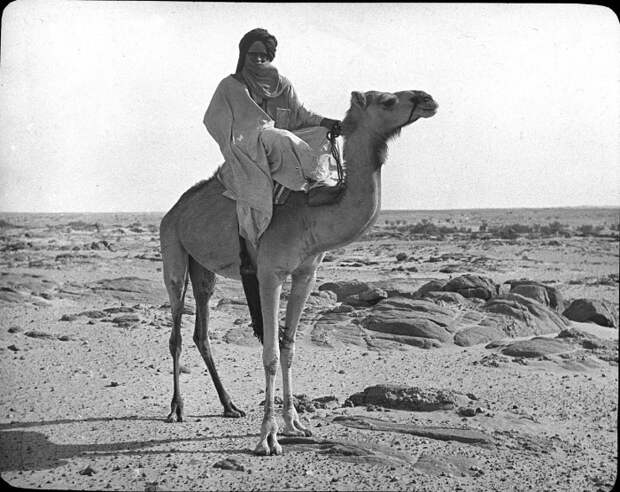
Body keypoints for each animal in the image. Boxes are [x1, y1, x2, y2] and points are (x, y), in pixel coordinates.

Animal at [157, 87, 438, 454]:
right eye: (388, 101)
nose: (428, 99)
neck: (311, 214)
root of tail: (174, 209)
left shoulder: (306, 273)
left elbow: (289, 347)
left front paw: (295, 424)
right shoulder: (269, 274)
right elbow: (271, 353)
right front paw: (267, 437)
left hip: (204, 268)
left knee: (201, 332)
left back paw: (229, 405)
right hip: (174, 252)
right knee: (176, 331)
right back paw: (177, 409)